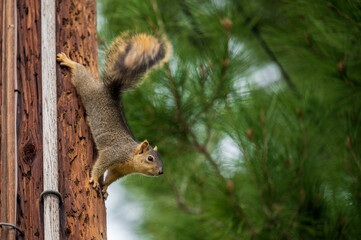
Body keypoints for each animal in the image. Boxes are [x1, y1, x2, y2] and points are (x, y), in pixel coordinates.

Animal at [56, 33, 170, 199]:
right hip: (89, 91)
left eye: (160, 158)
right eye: (150, 158)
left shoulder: (119, 170)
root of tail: (109, 91)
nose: (161, 171)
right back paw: (68, 61)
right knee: (81, 74)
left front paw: (105, 188)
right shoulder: (112, 154)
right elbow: (99, 165)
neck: (130, 156)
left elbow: (110, 177)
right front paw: (95, 179)